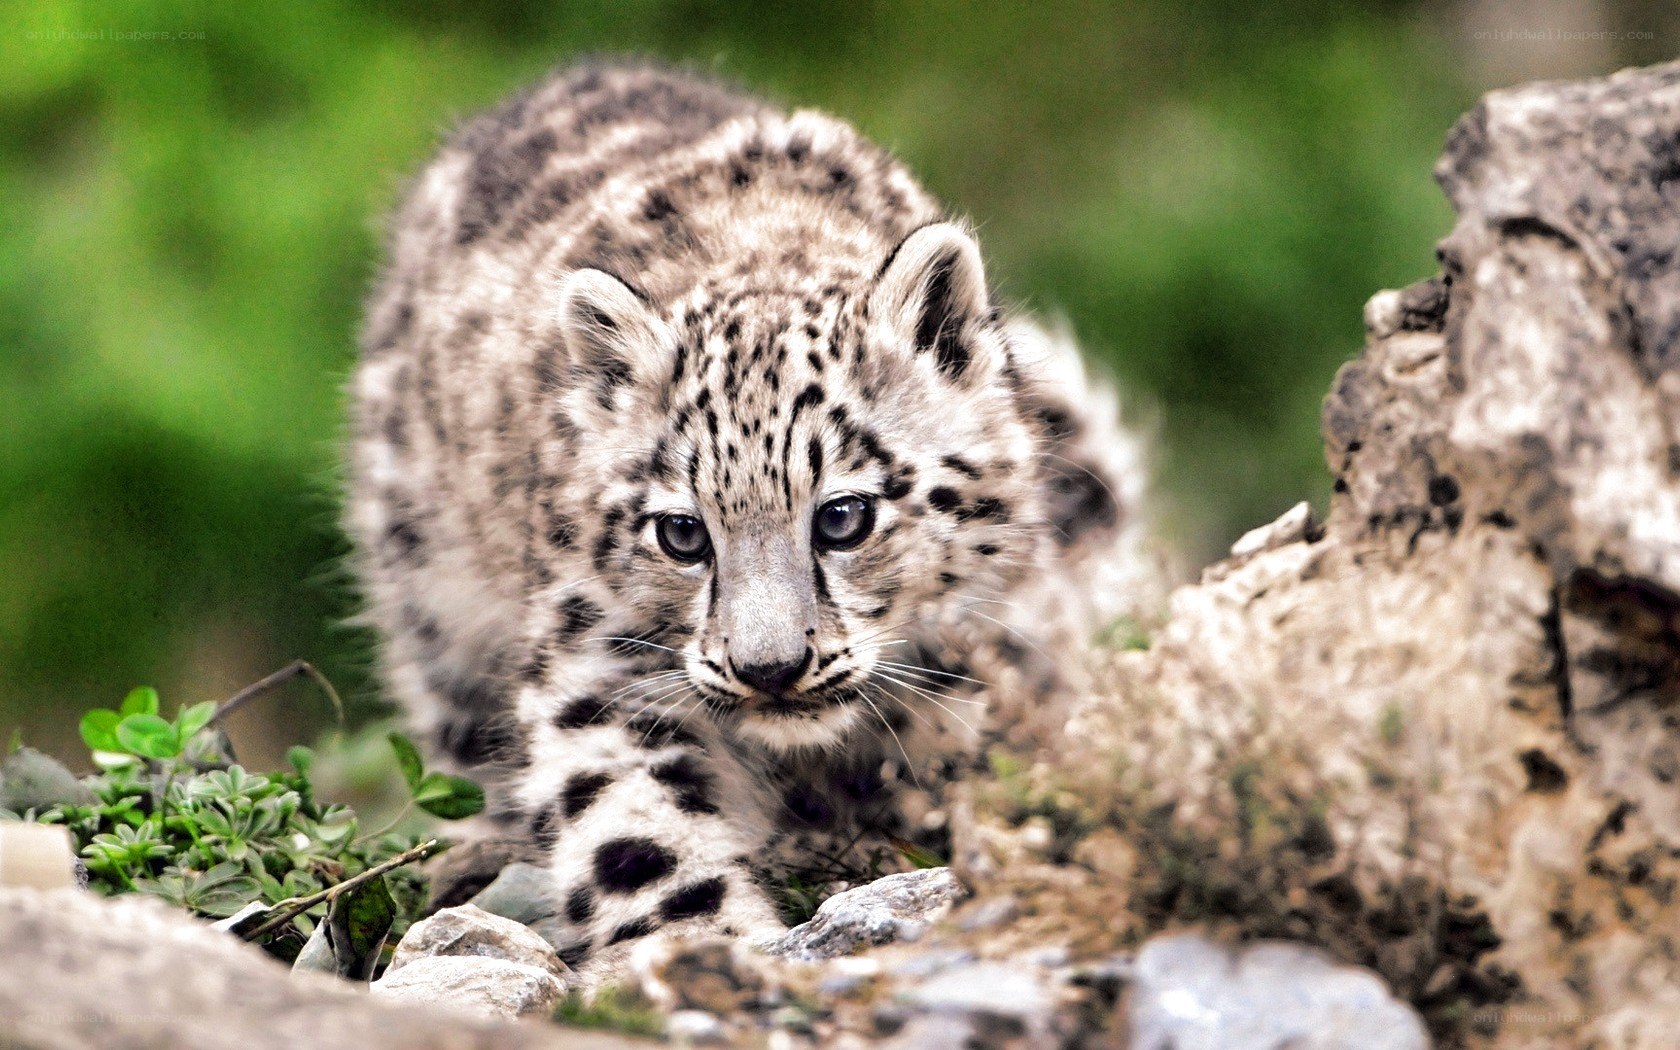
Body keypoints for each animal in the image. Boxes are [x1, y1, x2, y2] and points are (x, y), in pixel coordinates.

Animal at [347, 57, 1153, 976]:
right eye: (682, 532)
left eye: (843, 516)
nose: (768, 668)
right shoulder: (596, 656)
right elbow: (632, 823)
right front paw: (703, 943)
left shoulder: (986, 638)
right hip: (430, 593)